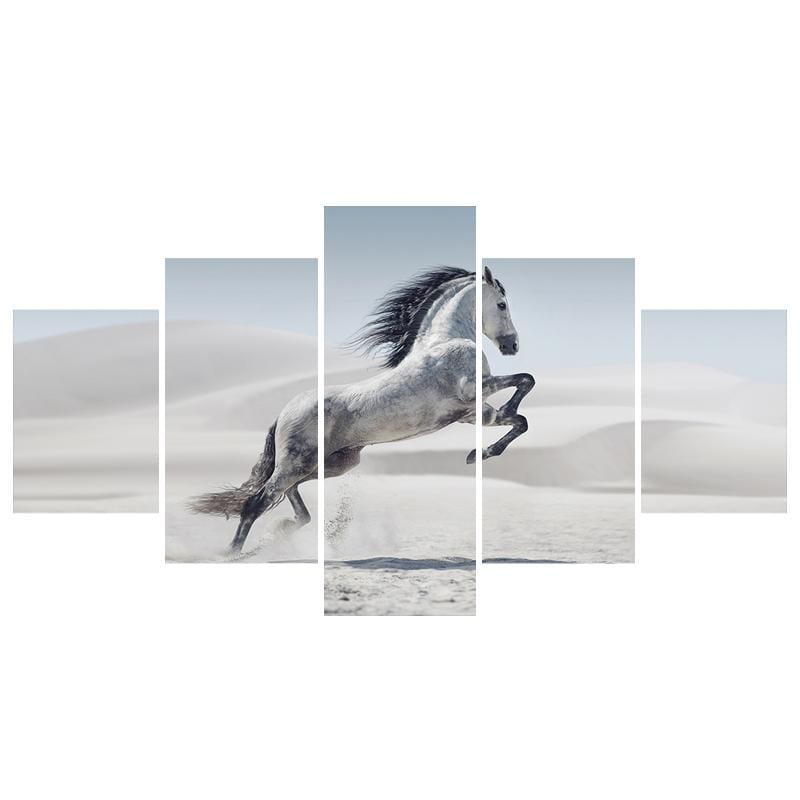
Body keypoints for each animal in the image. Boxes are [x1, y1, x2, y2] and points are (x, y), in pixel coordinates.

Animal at [189, 265, 534, 555]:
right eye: (502, 304)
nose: (513, 345)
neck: (444, 341)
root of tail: (284, 413)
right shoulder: (474, 391)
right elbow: (525, 382)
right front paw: (481, 450)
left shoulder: (473, 414)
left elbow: (520, 419)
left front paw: (480, 453)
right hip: (299, 462)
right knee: (257, 501)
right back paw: (233, 553)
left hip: (331, 464)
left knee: (288, 496)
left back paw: (281, 532)